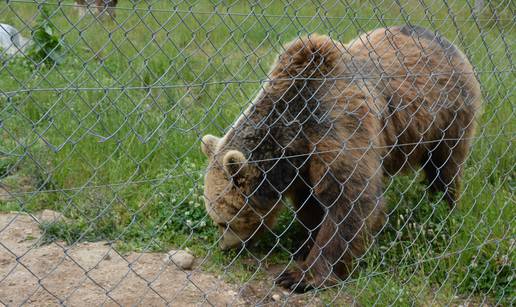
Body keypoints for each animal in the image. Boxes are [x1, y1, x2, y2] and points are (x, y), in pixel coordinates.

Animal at [201, 25, 480, 294]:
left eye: (223, 222)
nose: (225, 247)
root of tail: (447, 41)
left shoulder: (338, 125)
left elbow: (350, 197)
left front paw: (301, 276)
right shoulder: (304, 161)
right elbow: (311, 204)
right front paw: (305, 244)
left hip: (448, 114)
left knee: (445, 167)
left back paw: (443, 207)